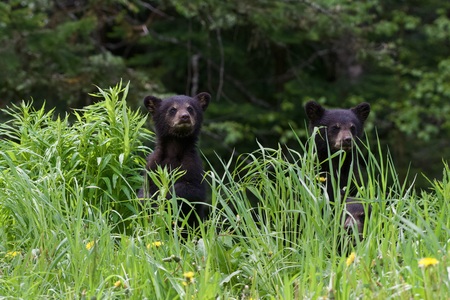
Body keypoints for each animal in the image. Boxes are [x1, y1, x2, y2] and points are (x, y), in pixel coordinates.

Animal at [139, 92, 211, 226]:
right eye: (173, 109)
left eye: (190, 108)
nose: (184, 117)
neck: (175, 146)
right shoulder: (153, 166)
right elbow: (145, 191)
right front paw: (149, 201)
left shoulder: (193, 165)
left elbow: (194, 190)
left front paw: (168, 195)